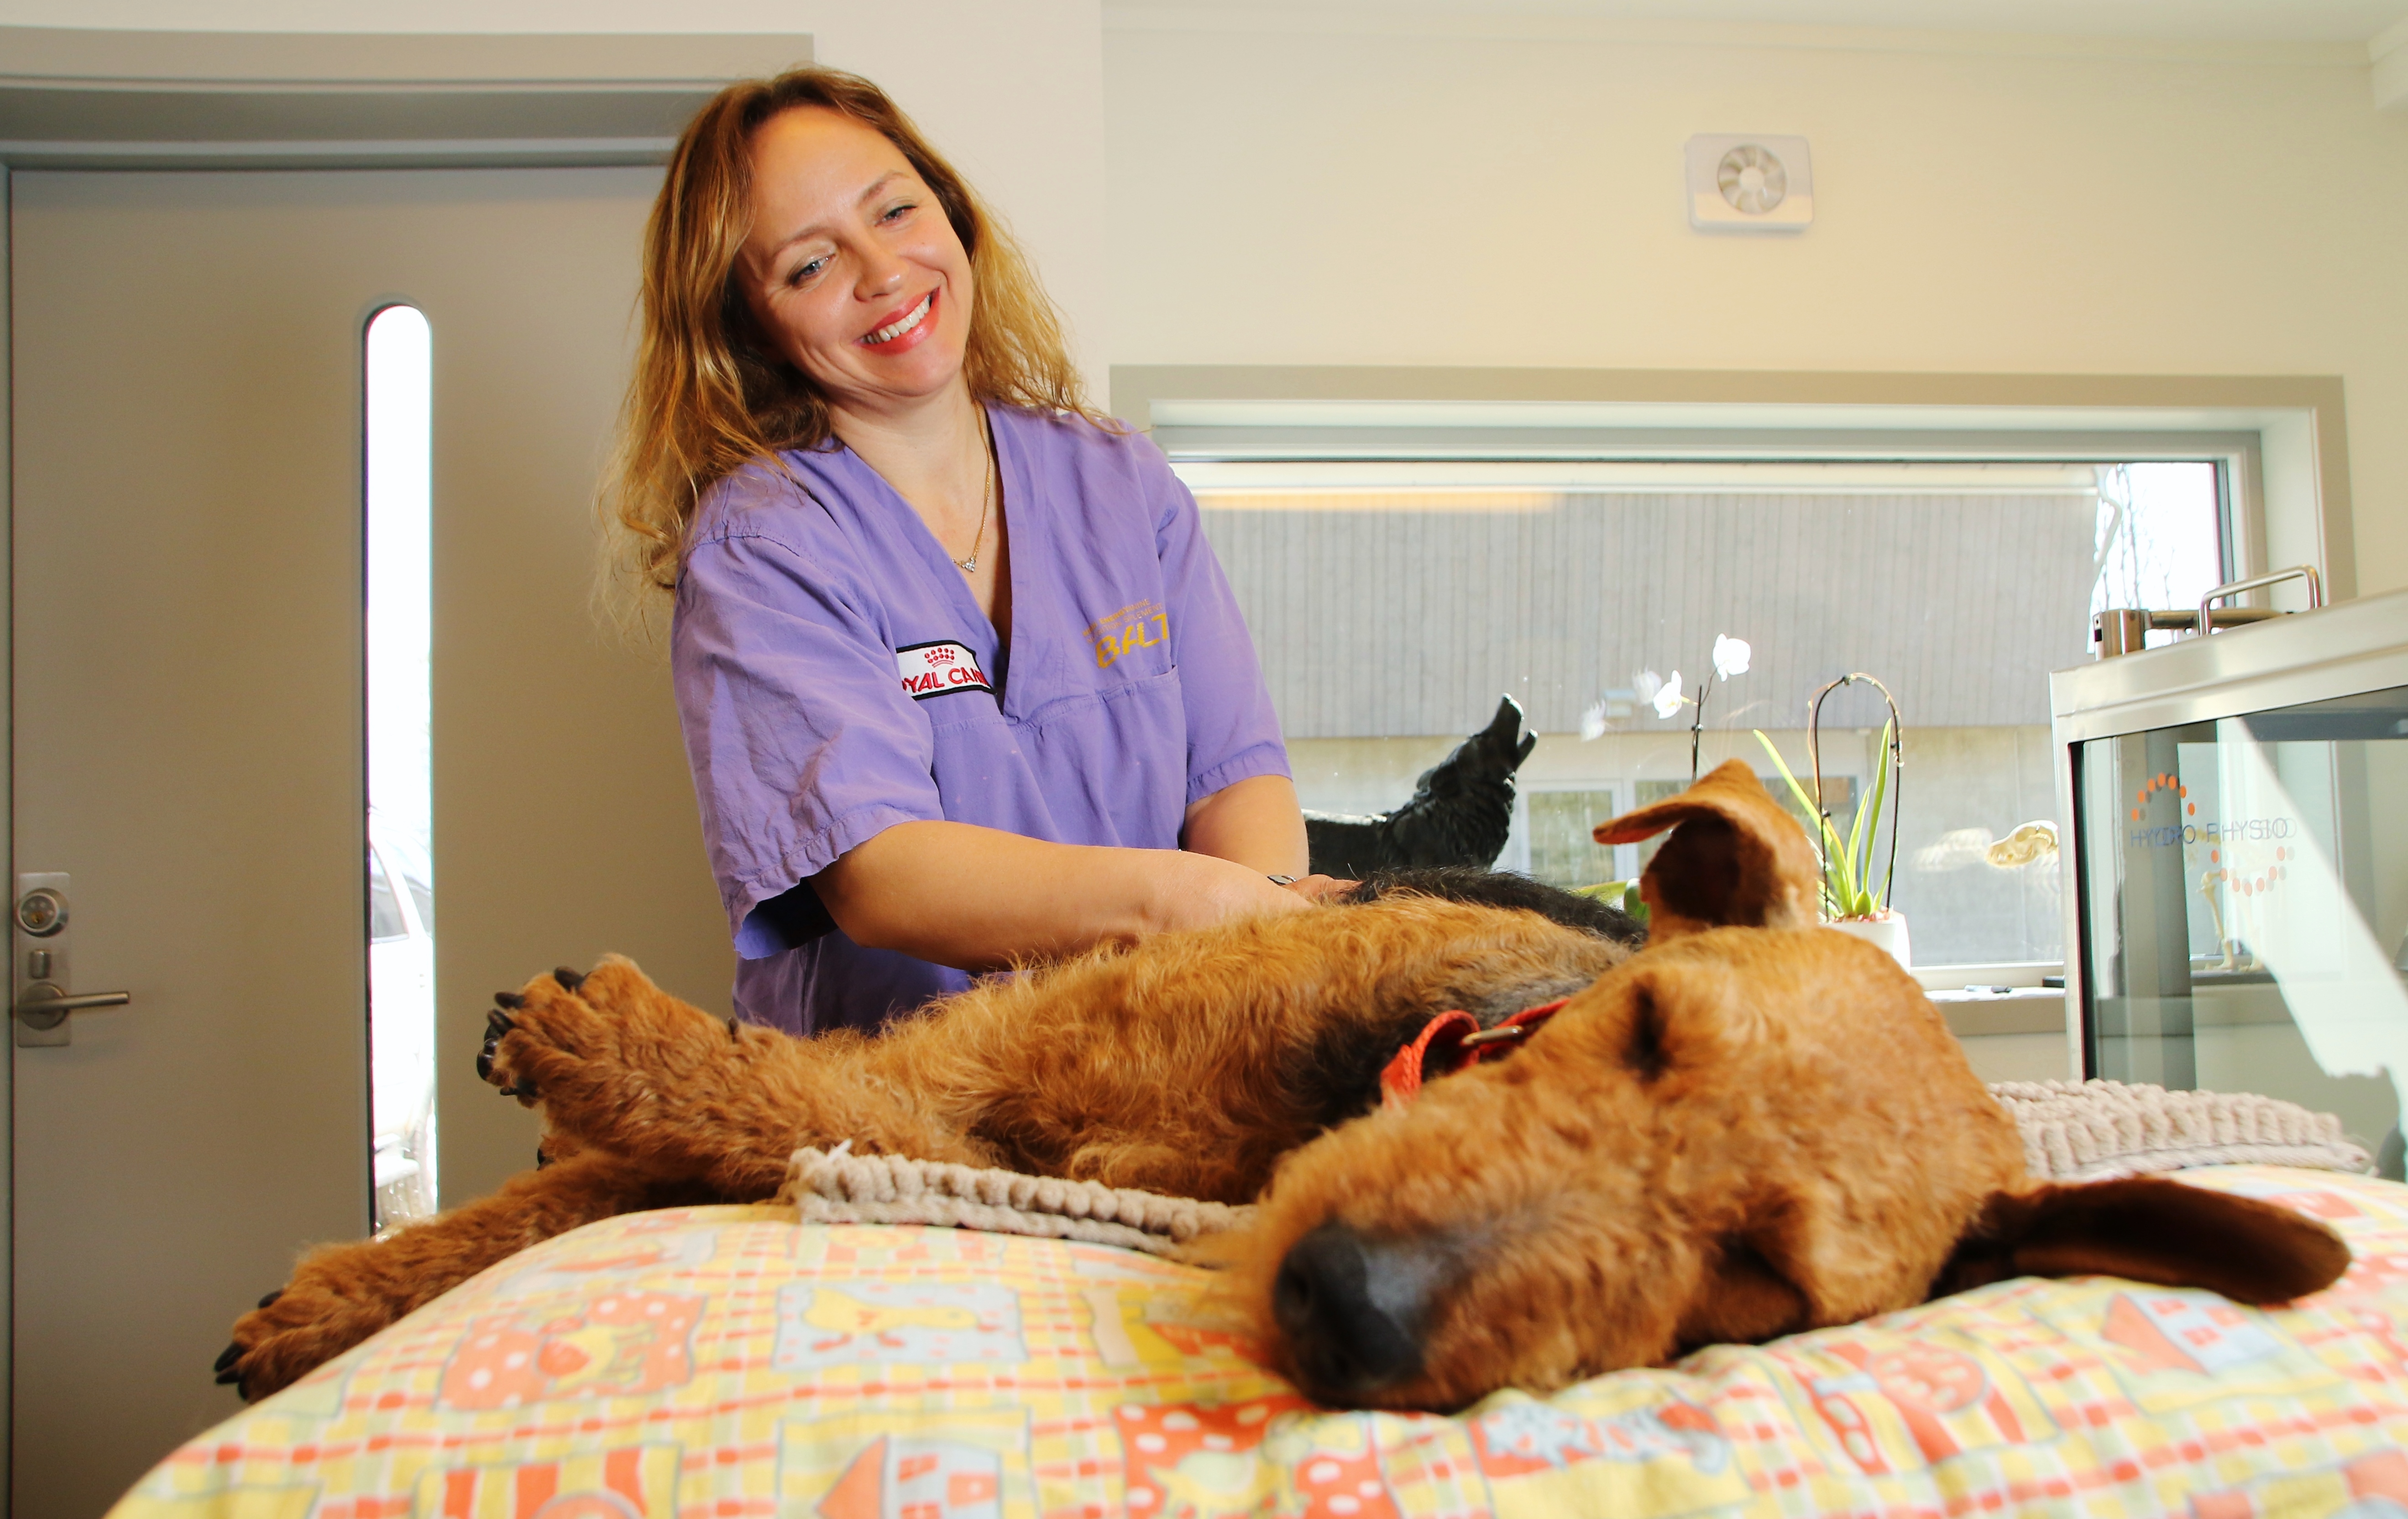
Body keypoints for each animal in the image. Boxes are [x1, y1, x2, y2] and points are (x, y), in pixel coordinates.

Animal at [220, 762, 2349, 1411]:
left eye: (1764, 1282)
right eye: (1649, 1031)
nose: (1352, 1307)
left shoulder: (938, 1111)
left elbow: (732, 1118)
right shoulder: (974, 1054)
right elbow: (627, 1147)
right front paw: (335, 1288)